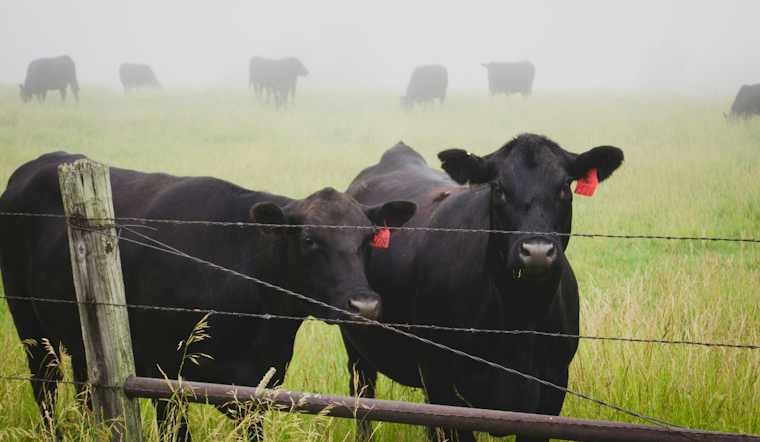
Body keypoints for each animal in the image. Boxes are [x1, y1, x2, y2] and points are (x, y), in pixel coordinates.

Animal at [0, 152, 416, 441]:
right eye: (309, 239)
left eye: (368, 239)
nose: (364, 305)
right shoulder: (164, 376)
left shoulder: (259, 386)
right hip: (28, 323)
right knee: (45, 388)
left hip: (79, 338)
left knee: (86, 389)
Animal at [341, 134, 624, 442]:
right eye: (498, 189)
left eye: (564, 186)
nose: (537, 251)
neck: (521, 322)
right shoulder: (442, 383)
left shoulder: (554, 388)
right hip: (357, 348)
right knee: (363, 400)